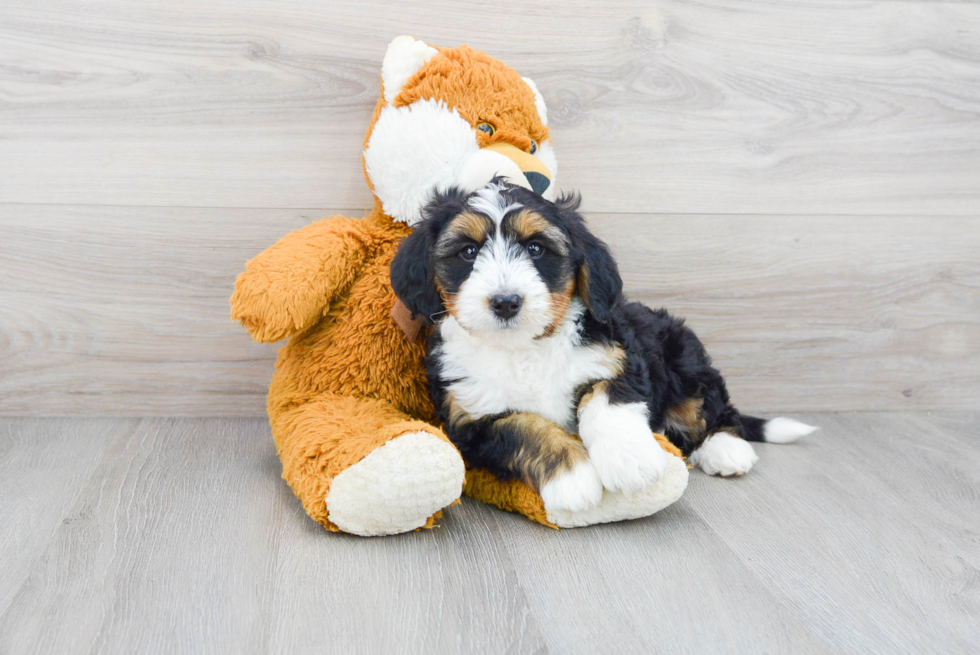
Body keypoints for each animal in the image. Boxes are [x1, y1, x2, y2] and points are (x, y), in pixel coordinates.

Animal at [390, 182, 820, 516]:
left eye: (535, 249)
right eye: (467, 252)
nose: (506, 302)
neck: (525, 346)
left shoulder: (620, 359)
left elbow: (606, 399)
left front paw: (632, 461)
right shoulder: (470, 417)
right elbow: (524, 427)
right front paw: (574, 478)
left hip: (684, 354)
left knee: (710, 407)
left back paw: (726, 448)